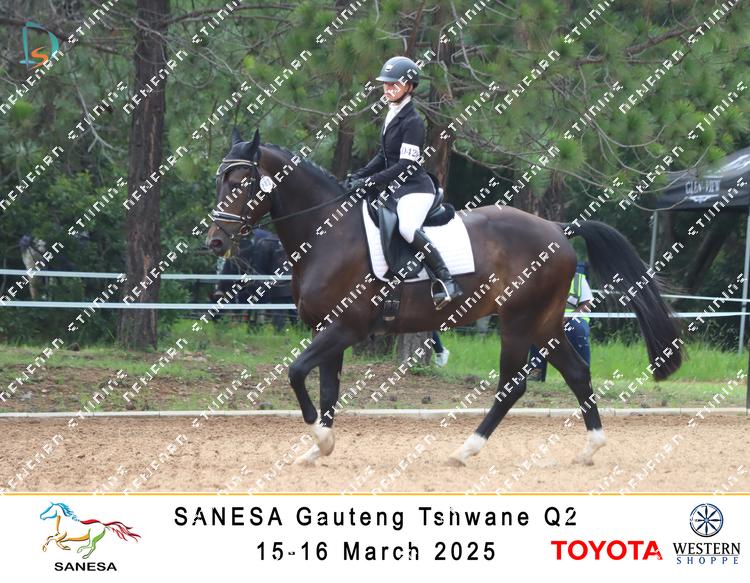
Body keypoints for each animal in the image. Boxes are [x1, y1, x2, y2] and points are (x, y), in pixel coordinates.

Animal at [206, 127, 683, 467]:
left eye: (242, 181)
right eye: (220, 180)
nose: (215, 241)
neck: (328, 233)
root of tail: (558, 230)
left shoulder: (344, 328)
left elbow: (296, 372)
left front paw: (321, 440)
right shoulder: (328, 330)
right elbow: (326, 388)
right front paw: (318, 448)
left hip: (518, 322)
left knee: (513, 385)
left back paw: (466, 450)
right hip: (545, 323)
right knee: (578, 373)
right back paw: (590, 448)